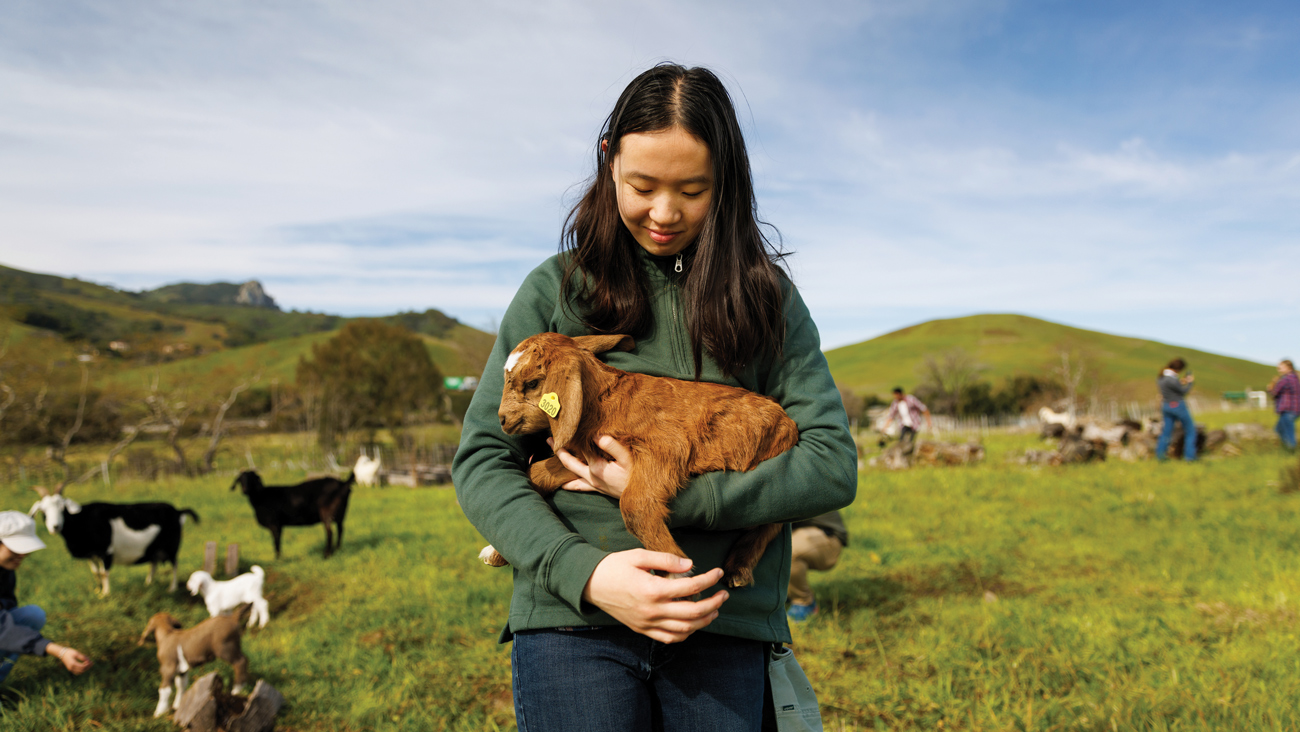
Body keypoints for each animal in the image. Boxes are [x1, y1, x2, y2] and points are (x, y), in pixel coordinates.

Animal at [27, 486, 198, 595]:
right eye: (43, 511)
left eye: (63, 508)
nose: (55, 526)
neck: (83, 520)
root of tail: (178, 511)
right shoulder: (91, 555)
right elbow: (96, 572)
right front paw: (98, 590)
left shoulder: (106, 551)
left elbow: (105, 573)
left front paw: (106, 593)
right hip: (155, 548)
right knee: (154, 563)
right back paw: (148, 583)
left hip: (172, 545)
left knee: (174, 564)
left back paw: (172, 588)